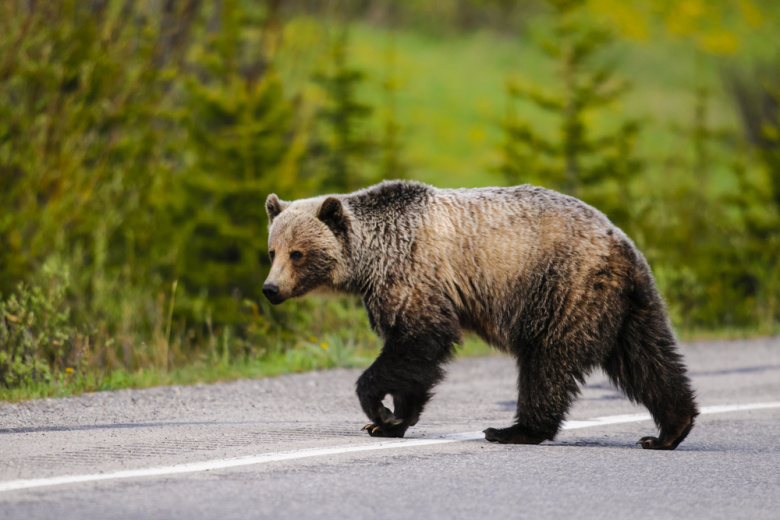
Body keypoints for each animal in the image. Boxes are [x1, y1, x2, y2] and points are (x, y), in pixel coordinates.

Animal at [263, 181, 698, 450]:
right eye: (272, 251)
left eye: (297, 253)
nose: (270, 289)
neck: (370, 258)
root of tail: (621, 243)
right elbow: (414, 358)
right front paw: (393, 421)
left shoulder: (412, 274)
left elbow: (418, 341)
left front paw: (379, 411)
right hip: (627, 304)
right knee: (648, 358)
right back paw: (669, 430)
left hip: (562, 287)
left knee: (547, 362)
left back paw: (513, 430)